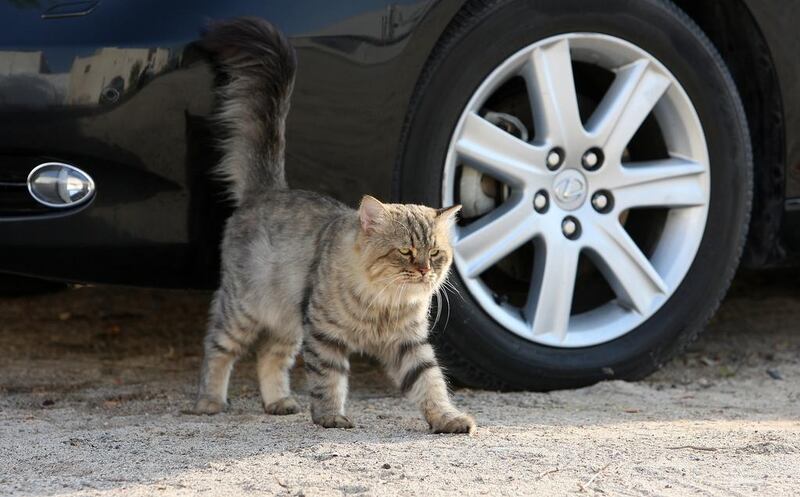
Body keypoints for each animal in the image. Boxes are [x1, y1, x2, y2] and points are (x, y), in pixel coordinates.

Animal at [195, 17, 476, 432]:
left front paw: (447, 418)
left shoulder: (409, 344)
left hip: (287, 322)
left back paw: (279, 402)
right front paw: (330, 417)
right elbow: (328, 378)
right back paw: (210, 401)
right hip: (243, 310)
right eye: (406, 252)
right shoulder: (324, 334)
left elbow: (430, 382)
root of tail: (268, 190)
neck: (383, 302)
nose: (426, 271)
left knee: (269, 355)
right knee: (217, 348)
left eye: (436, 253)